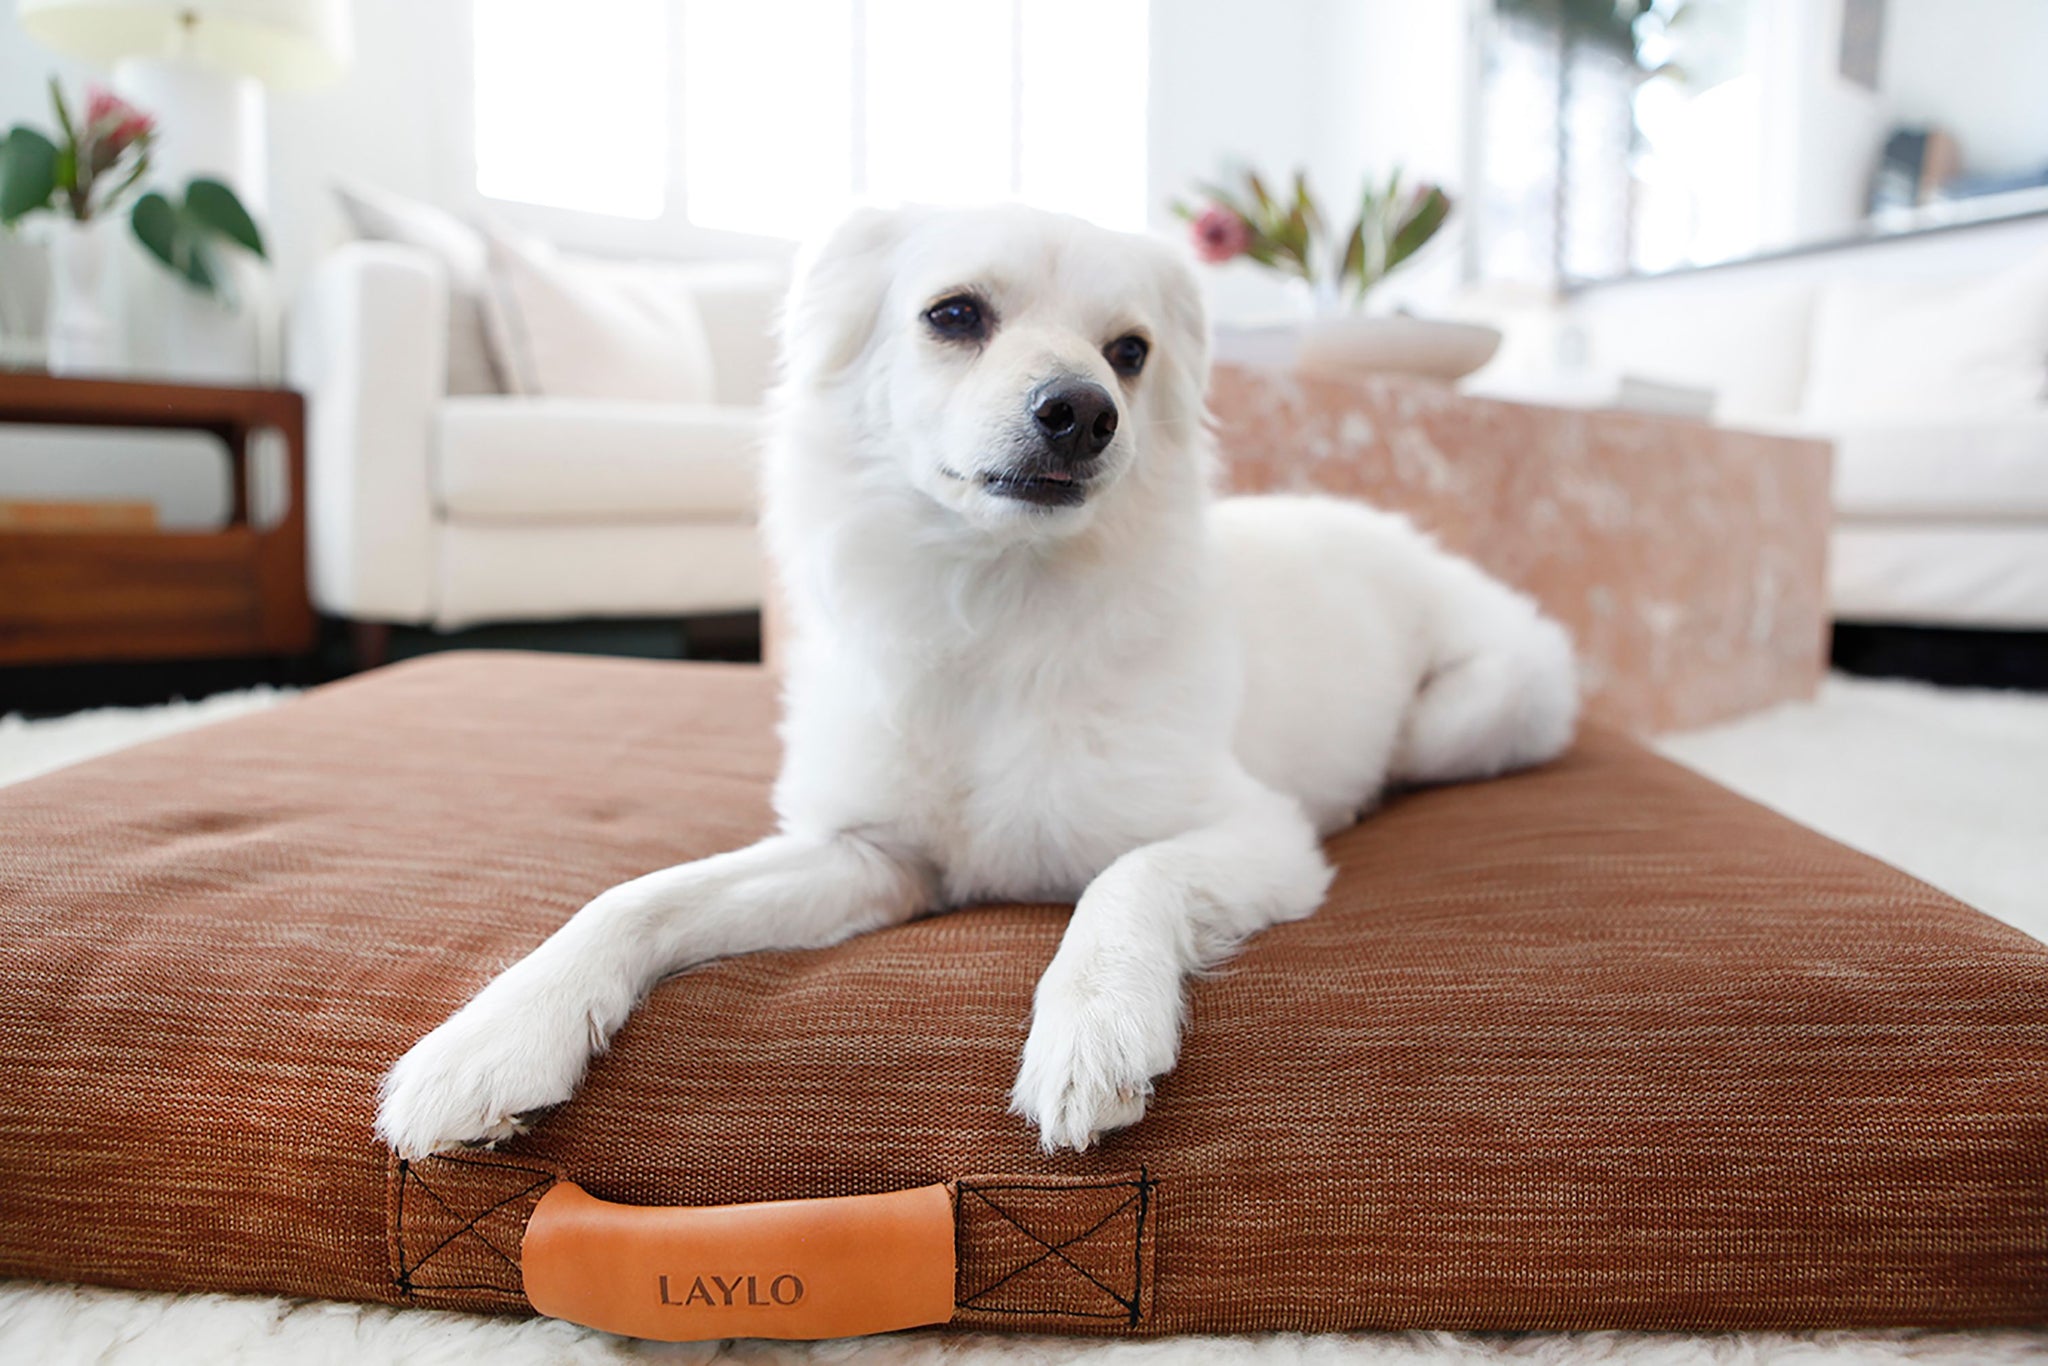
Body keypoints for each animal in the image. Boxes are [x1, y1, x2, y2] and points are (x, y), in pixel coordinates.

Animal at [376, 205, 1572, 1163]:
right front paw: (492, 1038)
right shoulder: (866, 856)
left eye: (1129, 352)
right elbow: (634, 898)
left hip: (1464, 715)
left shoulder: (1255, 832)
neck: (996, 617)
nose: (1083, 411)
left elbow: (1122, 880)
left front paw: (1093, 1027)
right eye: (954, 315)